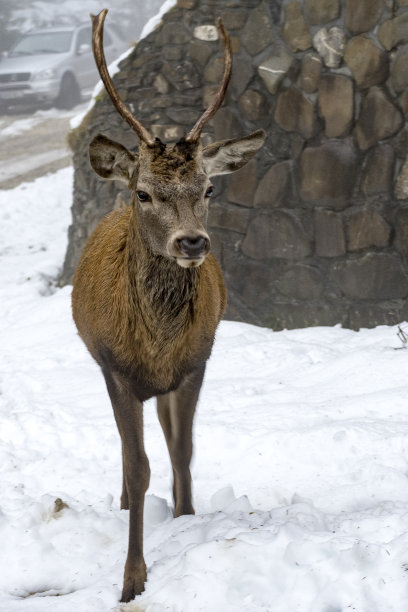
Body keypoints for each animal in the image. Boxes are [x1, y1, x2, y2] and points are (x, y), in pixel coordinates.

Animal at [71, 8, 266, 604]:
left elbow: (183, 450)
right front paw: (132, 580)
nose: (192, 242)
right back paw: (123, 506)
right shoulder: (116, 367)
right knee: (127, 449)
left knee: (168, 434)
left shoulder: (196, 362)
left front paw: (186, 518)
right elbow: (139, 466)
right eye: (144, 193)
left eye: (208, 189)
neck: (155, 343)